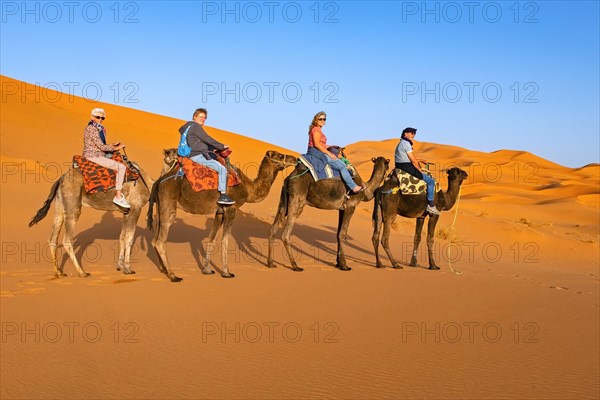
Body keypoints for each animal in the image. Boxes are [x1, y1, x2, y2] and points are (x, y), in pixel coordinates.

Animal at [145, 148, 296, 282]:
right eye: (279, 155)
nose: (294, 159)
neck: (248, 188)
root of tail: (159, 181)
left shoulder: (219, 211)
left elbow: (212, 239)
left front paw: (207, 270)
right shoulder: (231, 209)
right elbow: (225, 240)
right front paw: (226, 272)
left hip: (160, 207)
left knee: (154, 240)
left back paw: (164, 270)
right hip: (169, 204)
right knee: (160, 241)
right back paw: (173, 276)